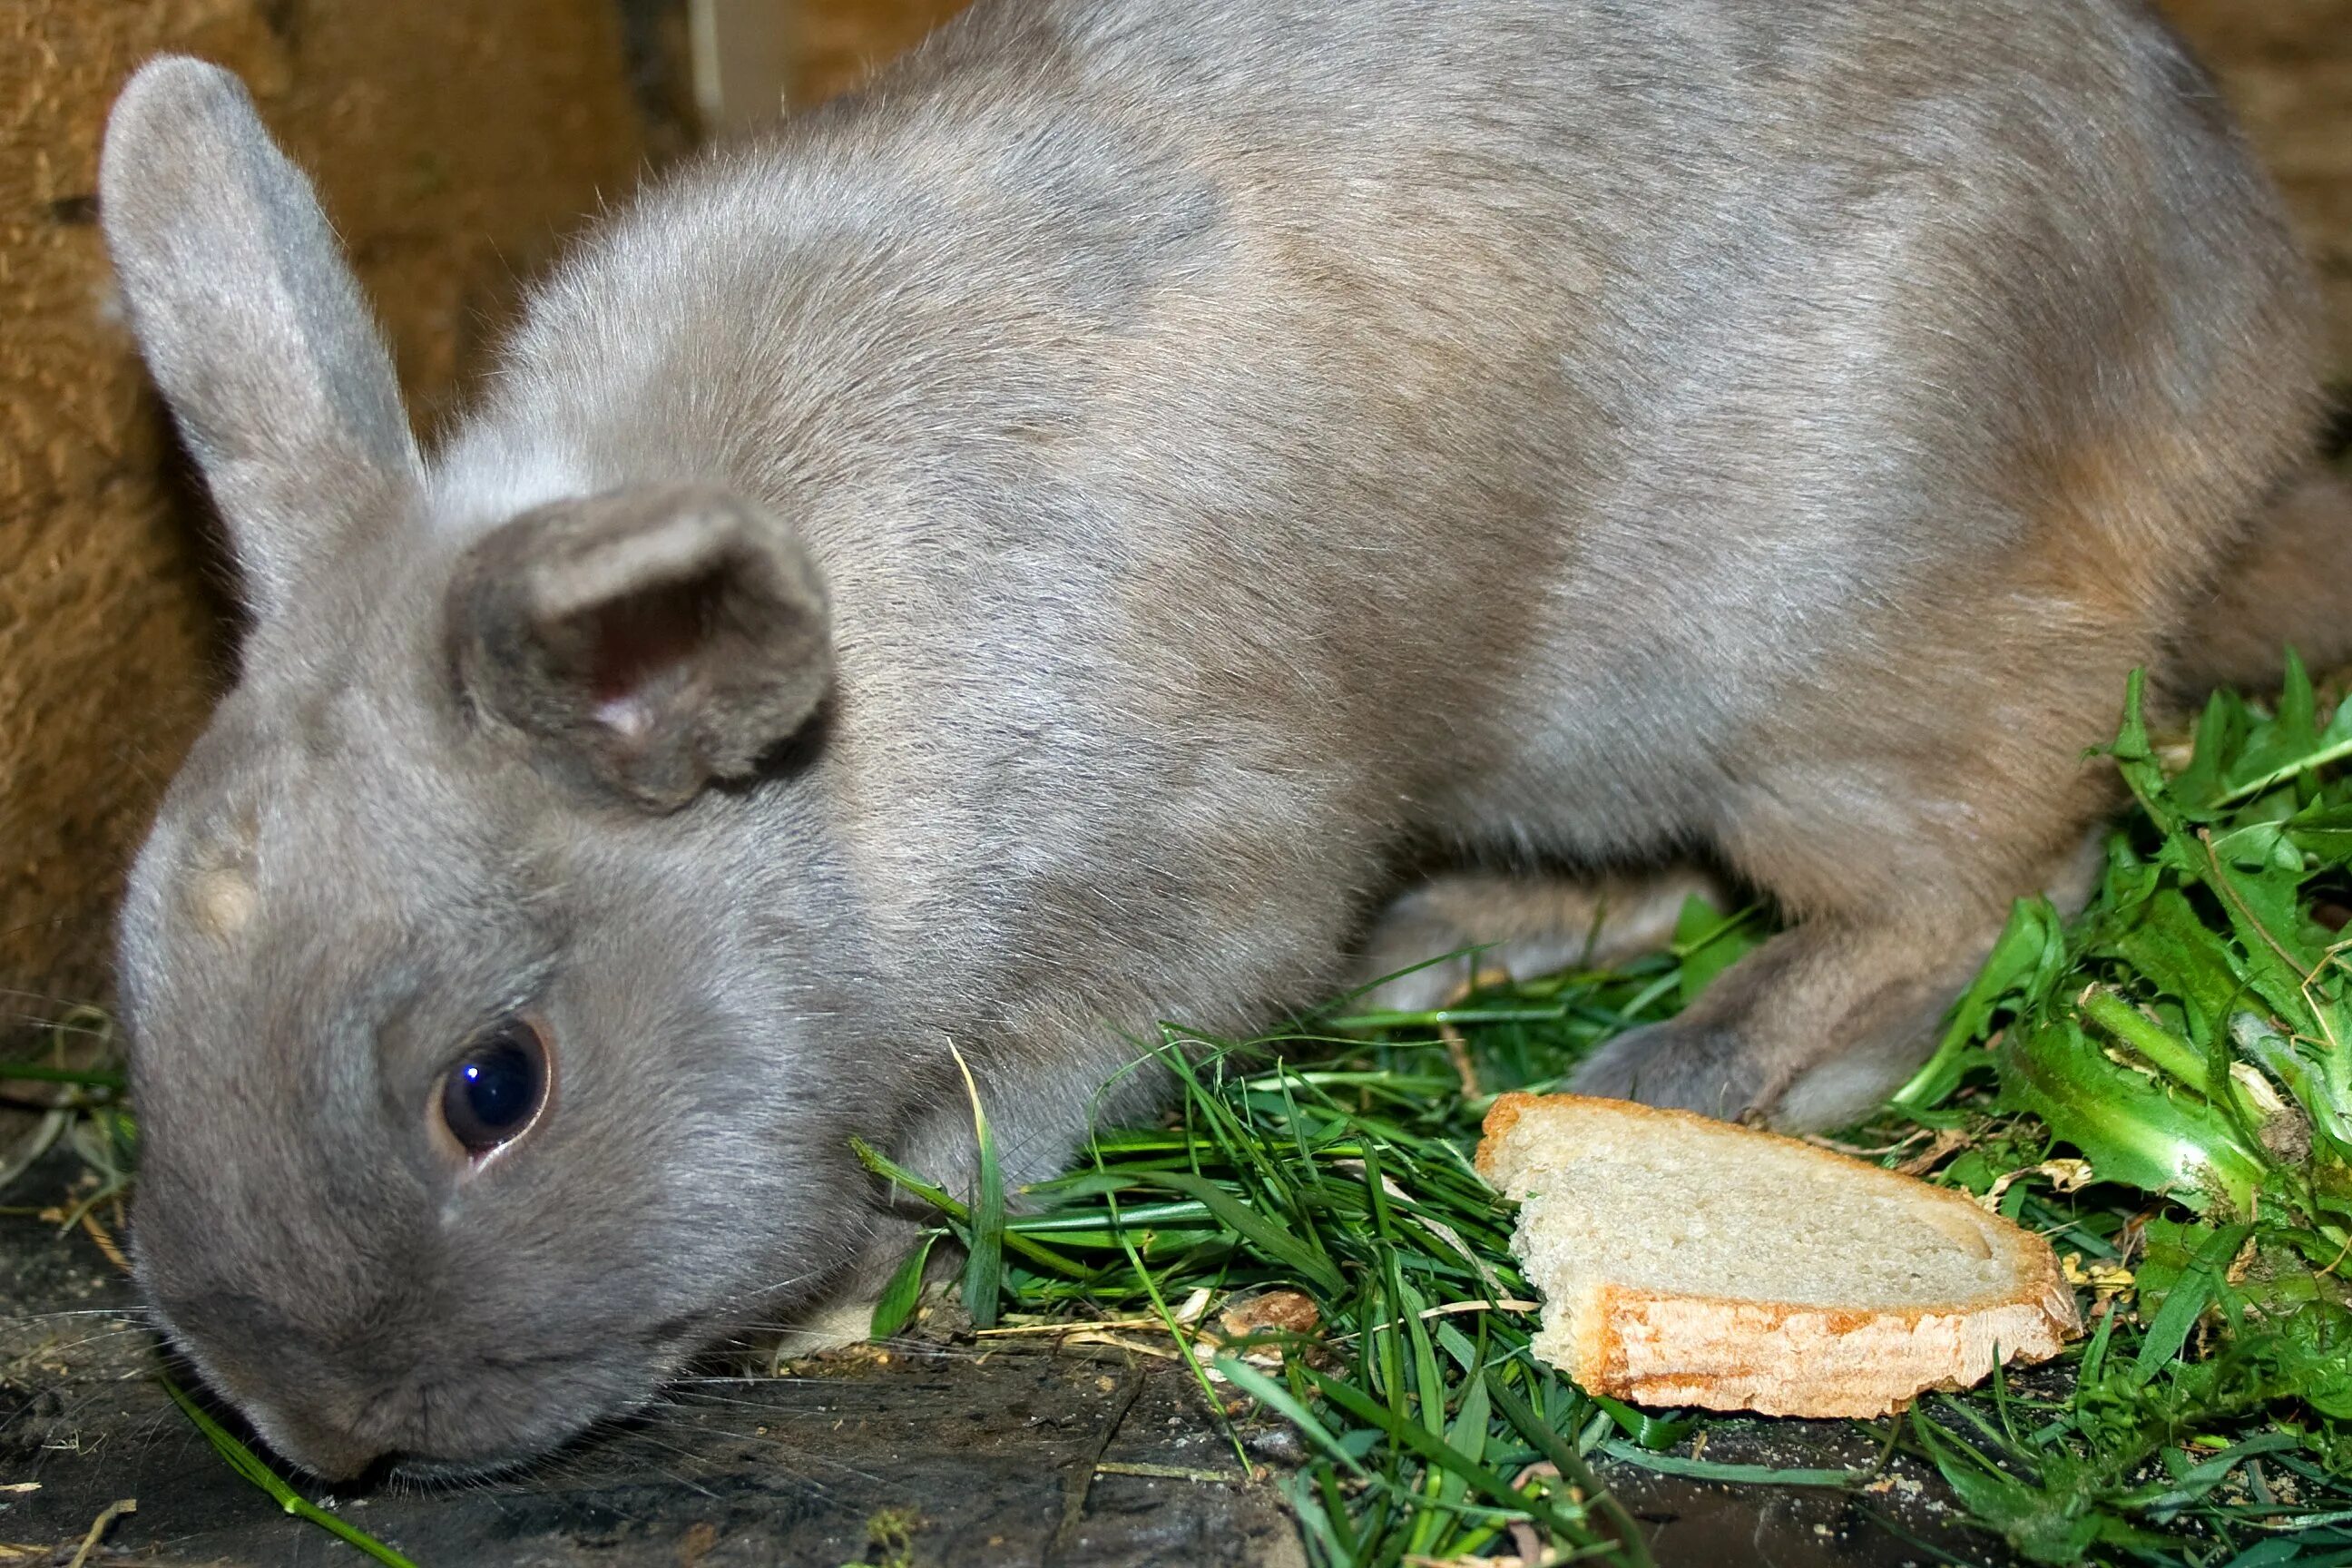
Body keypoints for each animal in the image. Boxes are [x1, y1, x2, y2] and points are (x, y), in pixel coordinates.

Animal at [101, 0, 2342, 1475]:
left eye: (494, 1087)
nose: (313, 1433)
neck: (841, 777)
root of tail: (2248, 342)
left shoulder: (1179, 904)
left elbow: (1011, 1117)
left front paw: (858, 1282)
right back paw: (1464, 947)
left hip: (1827, 662)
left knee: (1985, 874)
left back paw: (1706, 1063)